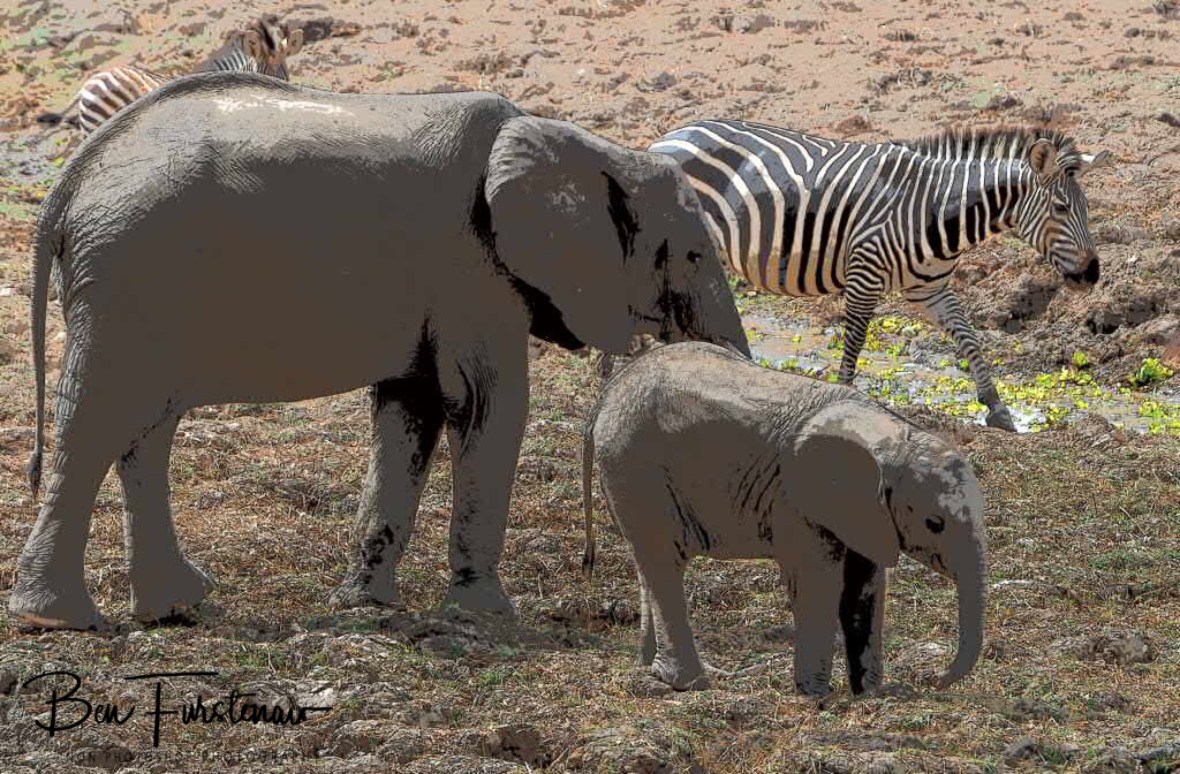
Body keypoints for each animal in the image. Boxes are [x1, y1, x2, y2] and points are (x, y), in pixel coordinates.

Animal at [11, 72, 750, 631]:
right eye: (693, 254)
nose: (593, 566)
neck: (590, 146)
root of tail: (69, 184)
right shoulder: (472, 266)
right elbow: (486, 404)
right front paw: (488, 616)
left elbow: (409, 410)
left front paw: (366, 606)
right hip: (129, 271)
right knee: (100, 421)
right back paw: (58, 620)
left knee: (145, 428)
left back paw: (175, 608)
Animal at [582, 341, 987, 695]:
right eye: (935, 524)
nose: (934, 679)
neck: (891, 436)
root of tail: (607, 394)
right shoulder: (796, 500)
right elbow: (817, 581)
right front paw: (815, 695)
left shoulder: (866, 514)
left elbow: (865, 585)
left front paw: (870, 695)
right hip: (636, 466)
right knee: (663, 561)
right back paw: (688, 683)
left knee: (648, 563)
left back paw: (649, 669)